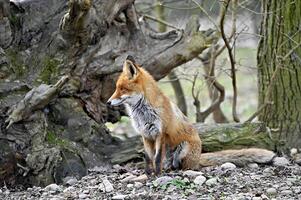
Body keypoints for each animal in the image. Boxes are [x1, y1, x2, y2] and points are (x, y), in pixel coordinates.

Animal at [106, 55, 276, 174]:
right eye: (116, 88)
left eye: (122, 89)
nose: (107, 102)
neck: (143, 112)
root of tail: (198, 156)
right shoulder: (145, 134)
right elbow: (149, 158)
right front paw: (148, 174)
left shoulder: (160, 133)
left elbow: (157, 157)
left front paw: (157, 174)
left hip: (183, 149)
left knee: (186, 167)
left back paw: (178, 170)